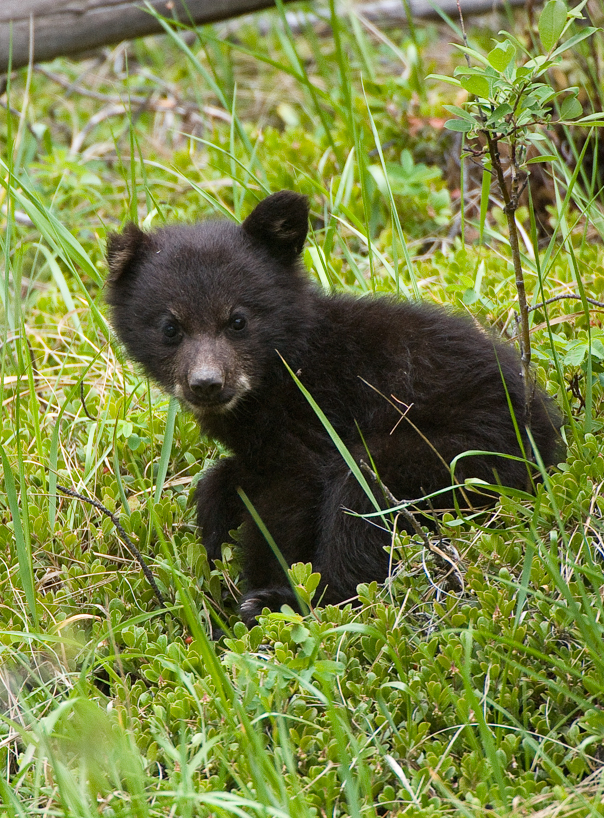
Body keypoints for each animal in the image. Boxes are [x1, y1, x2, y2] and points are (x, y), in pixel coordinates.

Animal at [105, 190, 562, 625]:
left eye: (237, 320)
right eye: (170, 327)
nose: (207, 383)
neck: (281, 369)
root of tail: (548, 441)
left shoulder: (312, 418)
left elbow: (288, 503)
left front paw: (264, 594)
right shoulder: (258, 445)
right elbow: (223, 481)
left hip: (463, 454)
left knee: (361, 495)